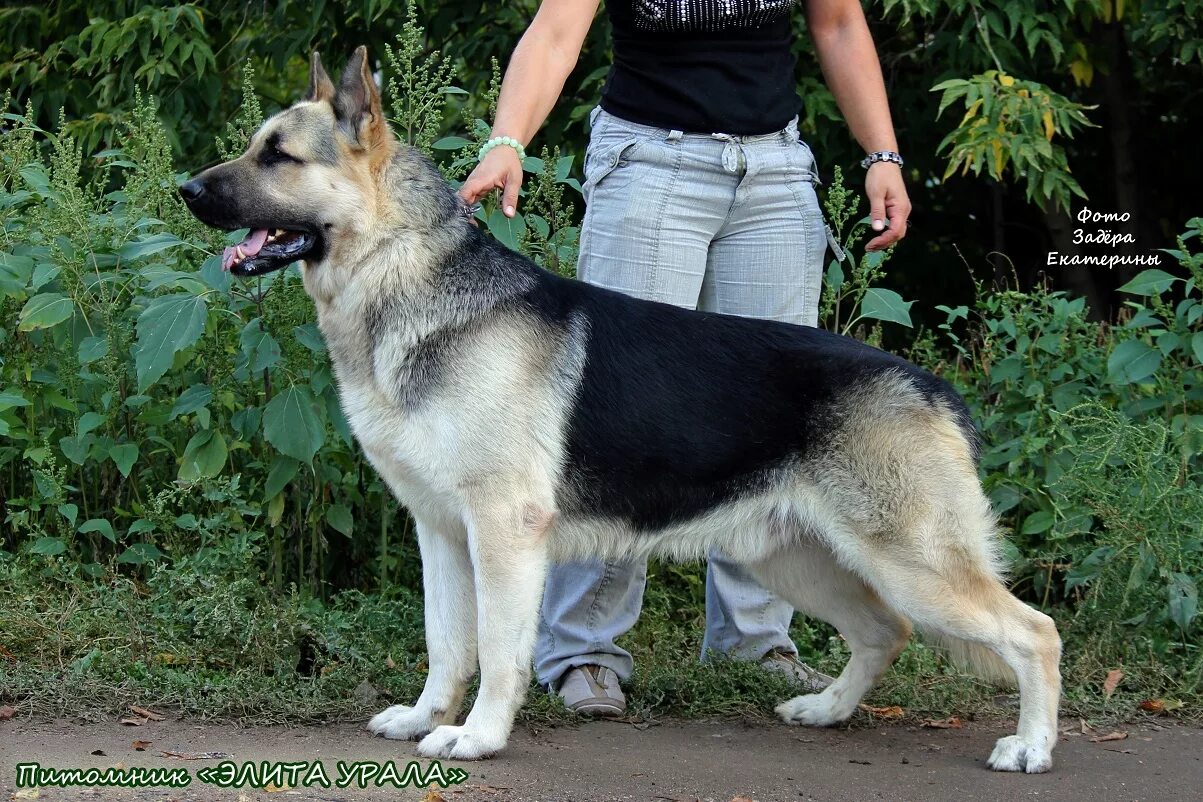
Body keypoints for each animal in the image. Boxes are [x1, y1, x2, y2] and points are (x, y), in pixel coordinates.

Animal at [180, 48, 1063, 769]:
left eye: (278, 156)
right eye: (256, 147)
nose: (184, 189)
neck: (406, 276)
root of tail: (934, 388)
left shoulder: (502, 535)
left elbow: (497, 650)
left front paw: (477, 736)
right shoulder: (441, 533)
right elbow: (445, 643)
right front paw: (426, 717)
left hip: (910, 565)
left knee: (1033, 633)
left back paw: (1029, 747)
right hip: (797, 560)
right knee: (886, 633)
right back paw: (827, 710)